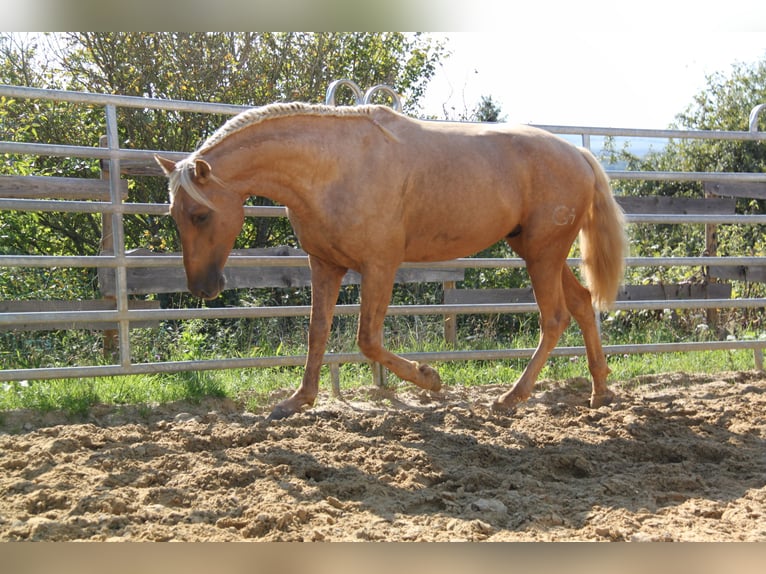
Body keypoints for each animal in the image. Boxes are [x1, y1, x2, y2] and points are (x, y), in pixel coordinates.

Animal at [156, 102, 626, 420]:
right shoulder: (324, 265)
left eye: (200, 214)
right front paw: (297, 402)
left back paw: (511, 397)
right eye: (174, 215)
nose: (202, 287)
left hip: (543, 254)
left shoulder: (380, 266)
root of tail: (581, 157)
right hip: (537, 251)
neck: (332, 166)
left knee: (554, 318)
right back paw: (600, 392)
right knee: (582, 304)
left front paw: (431, 379)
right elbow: (317, 333)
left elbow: (367, 339)